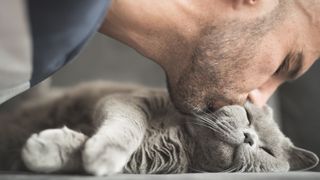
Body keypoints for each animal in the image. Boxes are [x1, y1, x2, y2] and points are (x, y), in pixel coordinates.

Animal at [0, 81, 318, 175]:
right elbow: (129, 127)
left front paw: (45, 150)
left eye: (267, 150)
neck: (184, 138)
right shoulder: (127, 99)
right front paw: (104, 152)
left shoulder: (145, 161)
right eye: (248, 117)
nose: (249, 137)